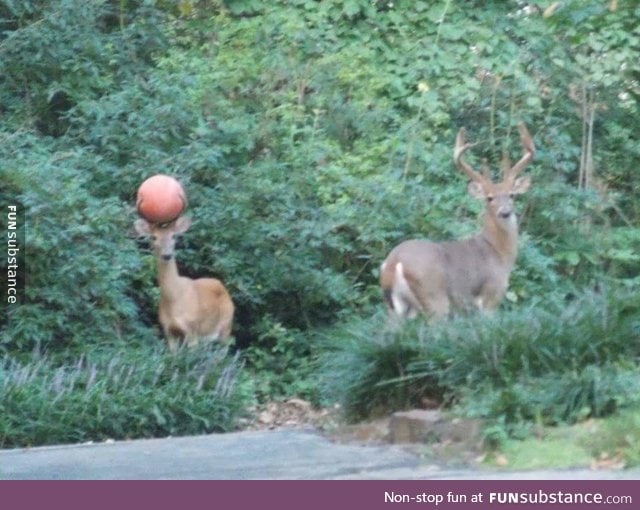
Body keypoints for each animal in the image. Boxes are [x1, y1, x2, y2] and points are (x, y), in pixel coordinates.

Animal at [135, 217, 235, 352]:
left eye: (173, 236)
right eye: (154, 237)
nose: (167, 255)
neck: (174, 299)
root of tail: (221, 285)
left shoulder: (193, 329)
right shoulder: (169, 331)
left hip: (226, 326)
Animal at [380, 123, 536, 320]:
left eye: (512, 195)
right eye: (489, 198)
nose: (505, 212)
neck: (498, 252)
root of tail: (394, 262)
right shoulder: (491, 296)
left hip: (396, 307)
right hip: (434, 297)